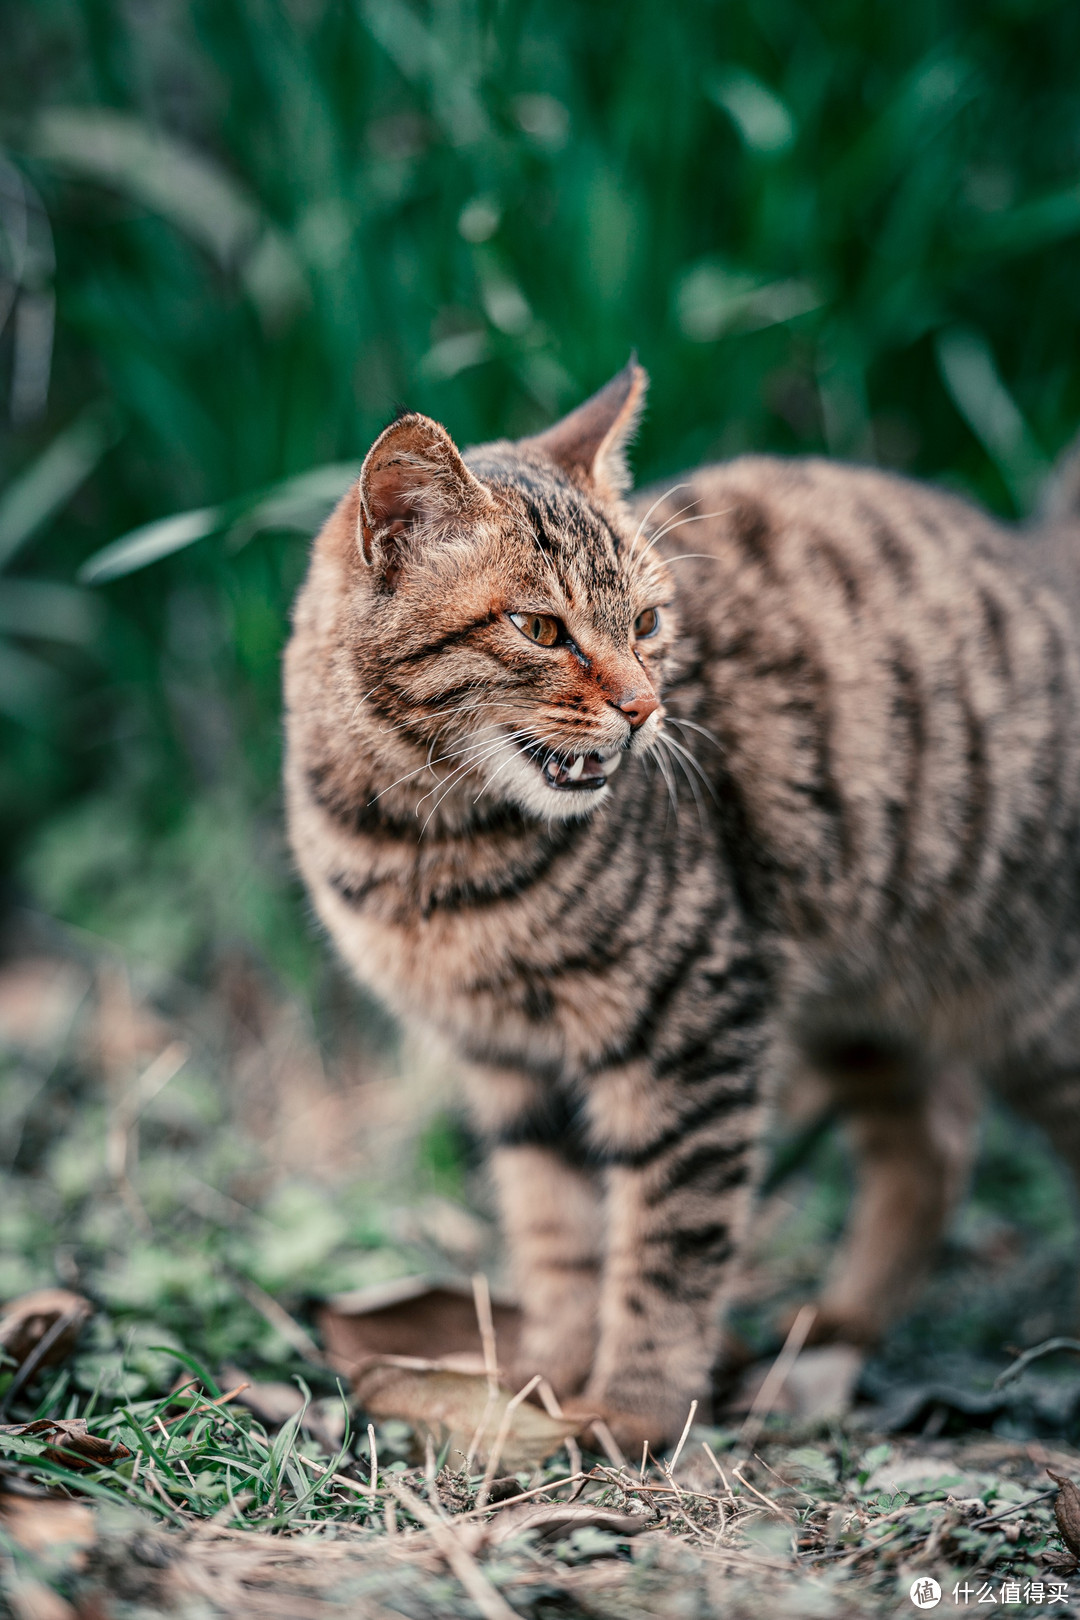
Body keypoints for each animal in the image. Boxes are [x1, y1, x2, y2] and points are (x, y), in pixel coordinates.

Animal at [283, 361, 1080, 1451]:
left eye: (649, 623)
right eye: (539, 628)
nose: (645, 708)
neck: (428, 848)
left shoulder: (693, 1032)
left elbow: (666, 1247)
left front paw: (632, 1409)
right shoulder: (509, 1063)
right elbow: (559, 1239)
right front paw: (542, 1378)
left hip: (1032, 1009)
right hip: (854, 1001)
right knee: (934, 1143)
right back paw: (833, 1333)